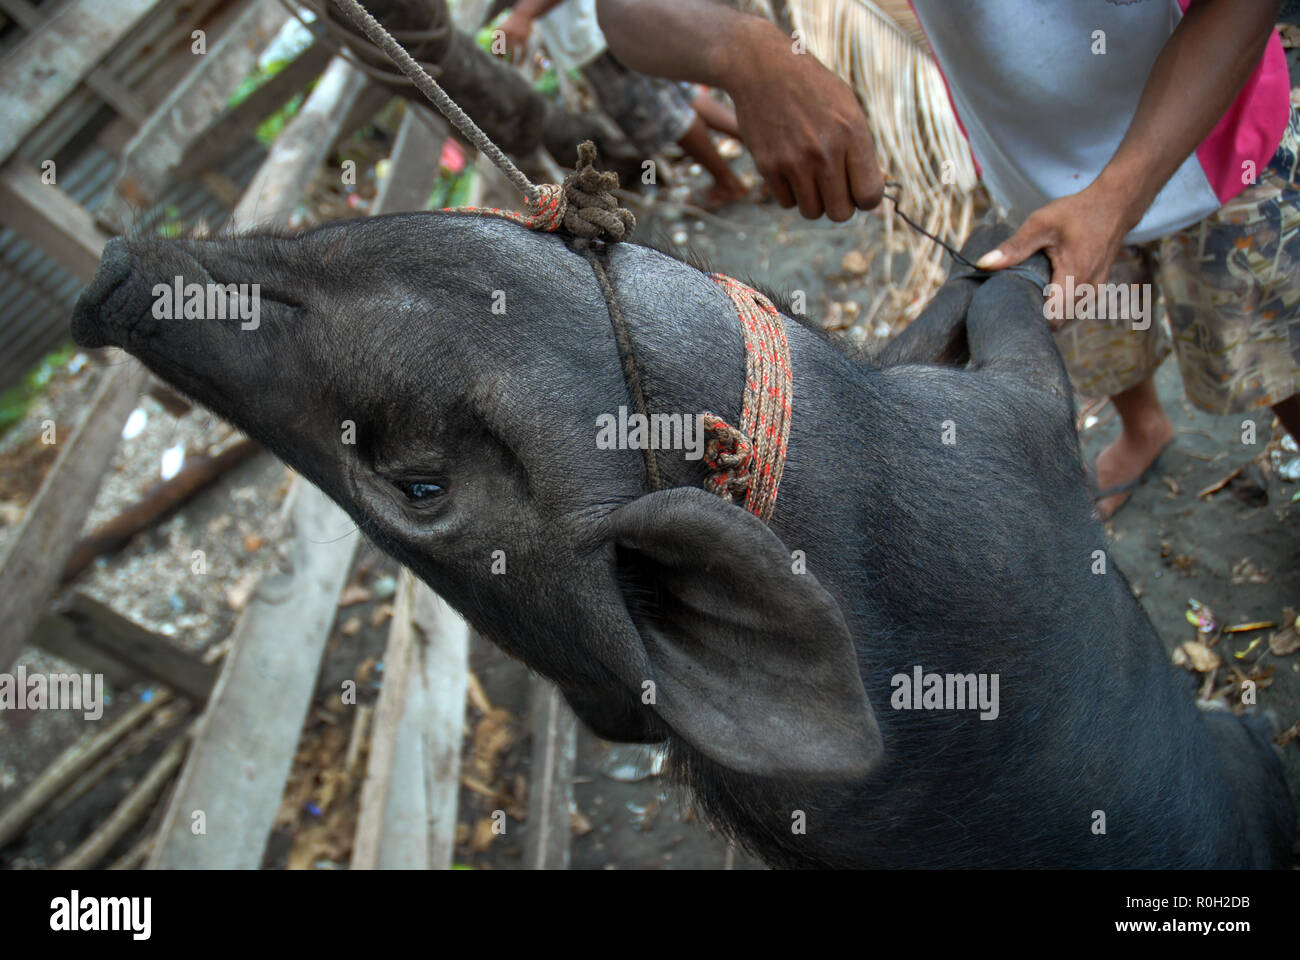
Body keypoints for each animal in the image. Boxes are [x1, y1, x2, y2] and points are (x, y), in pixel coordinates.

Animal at [71, 215, 1295, 868]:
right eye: (416, 485)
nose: (106, 283)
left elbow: (948, 315)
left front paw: (986, 255)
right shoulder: (1019, 449)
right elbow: (1012, 332)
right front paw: (1018, 260)